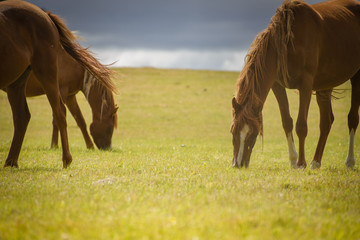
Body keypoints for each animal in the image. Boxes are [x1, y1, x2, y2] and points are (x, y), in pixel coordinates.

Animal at [0, 0, 114, 168]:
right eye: (109, 129)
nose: (107, 148)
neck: (74, 64)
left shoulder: (70, 95)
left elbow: (80, 120)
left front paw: (89, 146)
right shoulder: (62, 90)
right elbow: (58, 118)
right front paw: (54, 145)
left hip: (18, 83)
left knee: (22, 117)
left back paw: (11, 162)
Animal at [232, 0, 358, 169]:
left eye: (252, 133)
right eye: (233, 131)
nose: (237, 165)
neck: (287, 43)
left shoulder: (305, 85)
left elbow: (301, 126)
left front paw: (301, 163)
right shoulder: (277, 85)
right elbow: (287, 122)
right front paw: (293, 160)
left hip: (356, 77)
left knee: (352, 119)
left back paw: (349, 161)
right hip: (325, 85)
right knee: (326, 121)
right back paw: (315, 162)